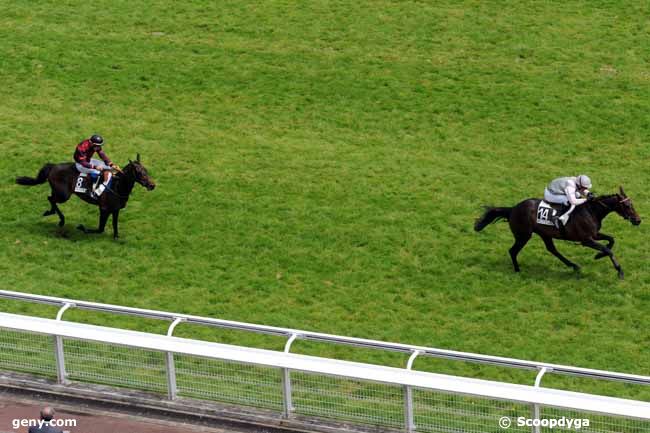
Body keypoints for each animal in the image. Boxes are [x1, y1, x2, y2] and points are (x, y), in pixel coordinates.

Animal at [16, 154, 154, 238]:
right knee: (51, 199)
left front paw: (116, 237)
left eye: (146, 170)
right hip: (64, 195)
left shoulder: (115, 209)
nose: (152, 185)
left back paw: (52, 213)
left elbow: (114, 225)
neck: (117, 186)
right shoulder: (104, 209)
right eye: (139, 172)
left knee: (51, 198)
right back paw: (59, 219)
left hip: (59, 192)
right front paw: (82, 227)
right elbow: (100, 229)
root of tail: (53, 166)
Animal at [474, 187, 640, 278]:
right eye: (627, 206)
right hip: (523, 235)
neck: (591, 211)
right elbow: (608, 249)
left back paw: (573, 266)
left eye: (632, 204)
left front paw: (598, 255)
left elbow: (611, 240)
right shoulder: (586, 240)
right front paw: (619, 271)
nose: (638, 220)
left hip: (544, 234)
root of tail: (513, 209)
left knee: (552, 249)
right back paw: (517, 269)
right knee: (513, 251)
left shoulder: (594, 235)